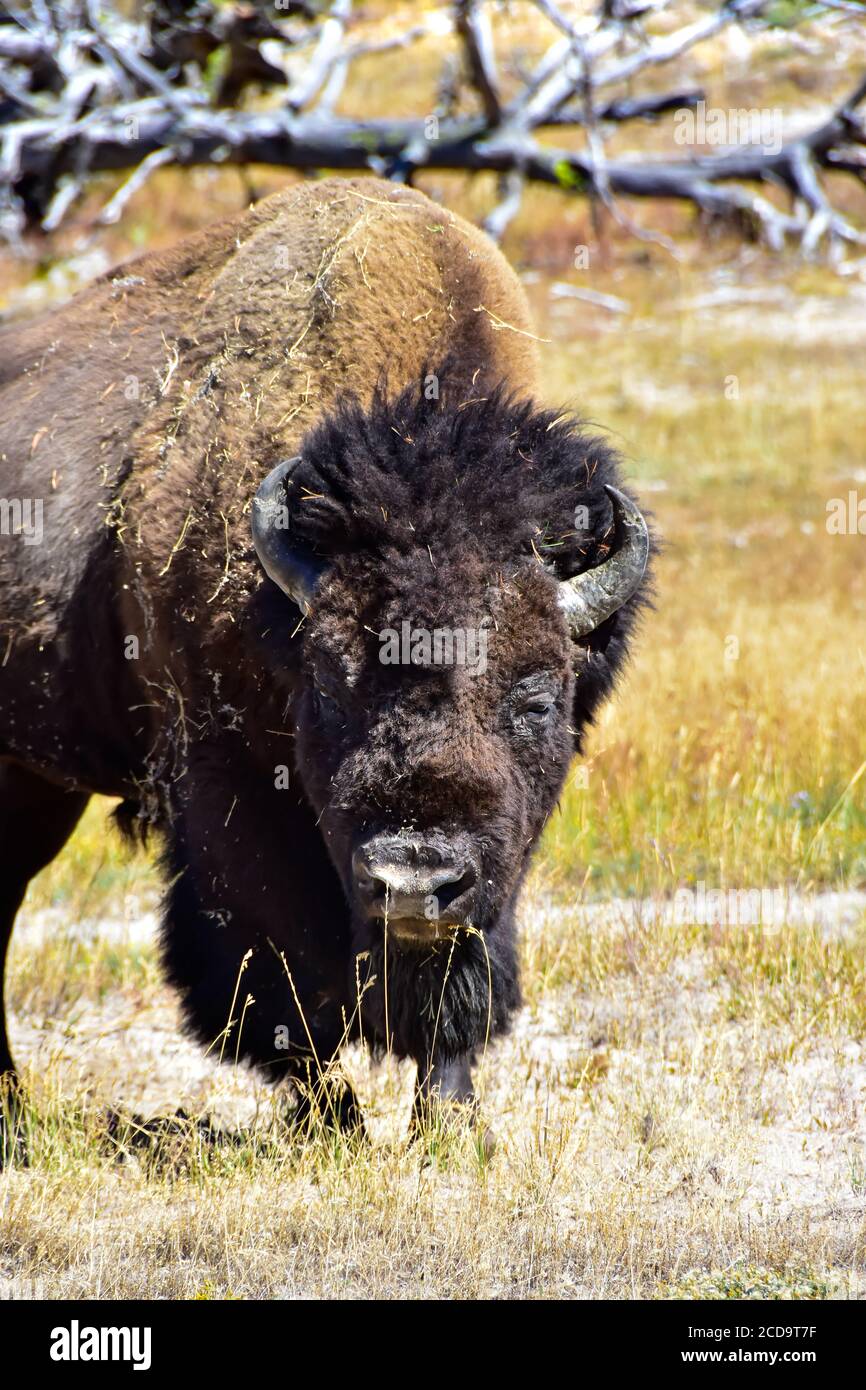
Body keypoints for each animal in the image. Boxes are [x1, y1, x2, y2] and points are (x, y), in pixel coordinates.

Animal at [0, 173, 650, 1134]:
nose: (413, 882)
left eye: (536, 699)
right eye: (332, 694)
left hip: (35, 780)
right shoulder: (229, 797)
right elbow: (283, 979)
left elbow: (457, 983)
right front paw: (334, 1123)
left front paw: (450, 1122)